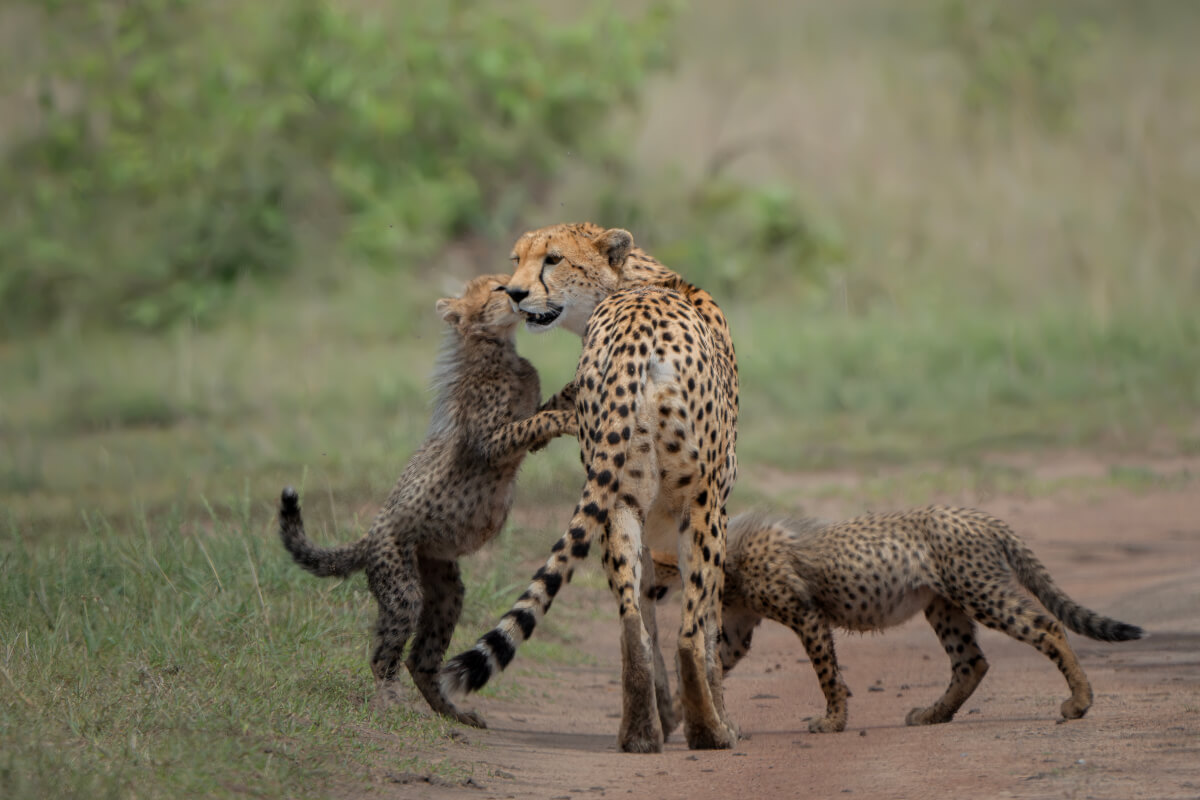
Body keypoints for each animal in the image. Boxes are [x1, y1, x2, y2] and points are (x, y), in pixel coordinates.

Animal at [280, 273, 580, 724]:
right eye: (497, 288)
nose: (517, 292)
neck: (497, 350)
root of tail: (370, 535)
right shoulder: (491, 442)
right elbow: (540, 420)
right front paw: (574, 416)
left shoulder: (526, 426)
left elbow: (544, 410)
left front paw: (583, 390)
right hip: (402, 587)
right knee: (385, 654)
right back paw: (390, 702)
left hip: (444, 588)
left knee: (420, 659)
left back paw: (452, 712)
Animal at [441, 220, 739, 753]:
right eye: (517, 259)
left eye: (553, 259)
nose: (515, 293)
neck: (631, 283)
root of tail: (638, 330)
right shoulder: (714, 507)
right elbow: (707, 626)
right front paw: (706, 716)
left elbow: (647, 608)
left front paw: (665, 714)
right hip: (700, 502)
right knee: (687, 632)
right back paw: (711, 731)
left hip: (619, 501)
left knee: (632, 625)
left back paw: (639, 734)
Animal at [652, 506, 1137, 734]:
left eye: (652, 563)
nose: (644, 587)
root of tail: (982, 516)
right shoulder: (737, 630)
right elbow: (707, 665)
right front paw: (675, 715)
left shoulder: (807, 615)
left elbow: (826, 674)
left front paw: (833, 721)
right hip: (943, 605)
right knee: (971, 662)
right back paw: (932, 715)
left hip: (980, 592)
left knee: (1046, 627)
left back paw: (1079, 701)